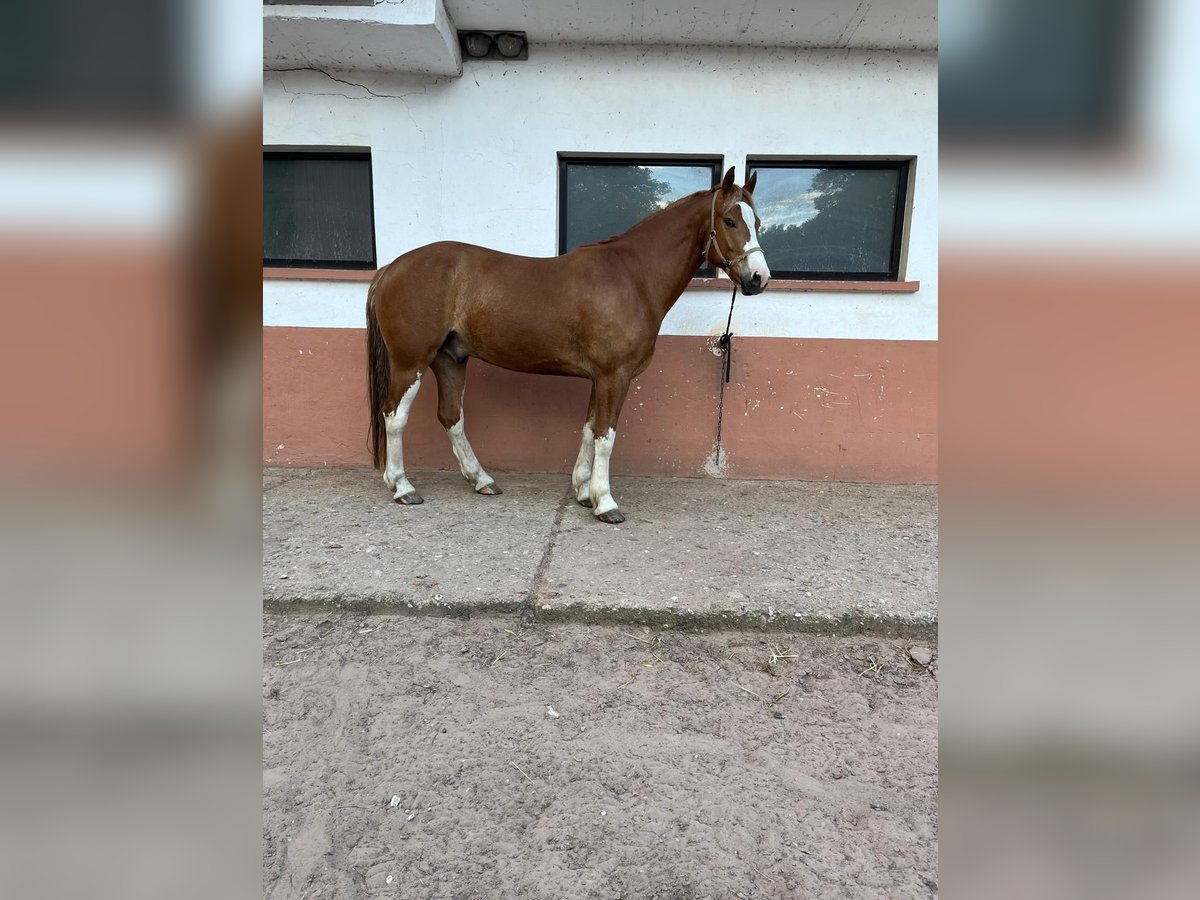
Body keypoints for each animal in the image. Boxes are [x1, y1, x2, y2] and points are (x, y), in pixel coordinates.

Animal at [364, 168, 768, 528]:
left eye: (759, 222)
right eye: (730, 221)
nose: (759, 279)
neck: (632, 277)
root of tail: (391, 268)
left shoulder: (600, 378)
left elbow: (589, 430)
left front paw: (584, 492)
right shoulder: (615, 377)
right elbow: (606, 437)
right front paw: (605, 503)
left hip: (450, 359)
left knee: (451, 417)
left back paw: (482, 480)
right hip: (411, 362)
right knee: (394, 416)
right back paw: (402, 486)